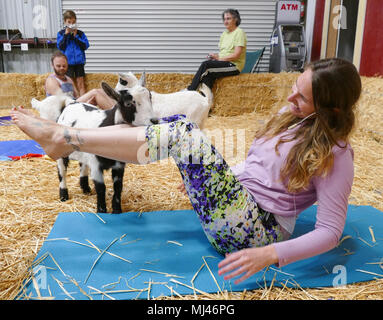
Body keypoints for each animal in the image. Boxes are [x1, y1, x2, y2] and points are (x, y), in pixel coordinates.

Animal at [31, 81, 158, 214]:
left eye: (150, 98)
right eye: (128, 103)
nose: (154, 120)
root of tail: (71, 103)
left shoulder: (119, 165)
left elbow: (118, 187)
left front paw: (117, 210)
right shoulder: (96, 165)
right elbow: (101, 188)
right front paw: (101, 210)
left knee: (82, 165)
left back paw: (85, 188)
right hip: (61, 151)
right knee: (62, 172)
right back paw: (63, 195)